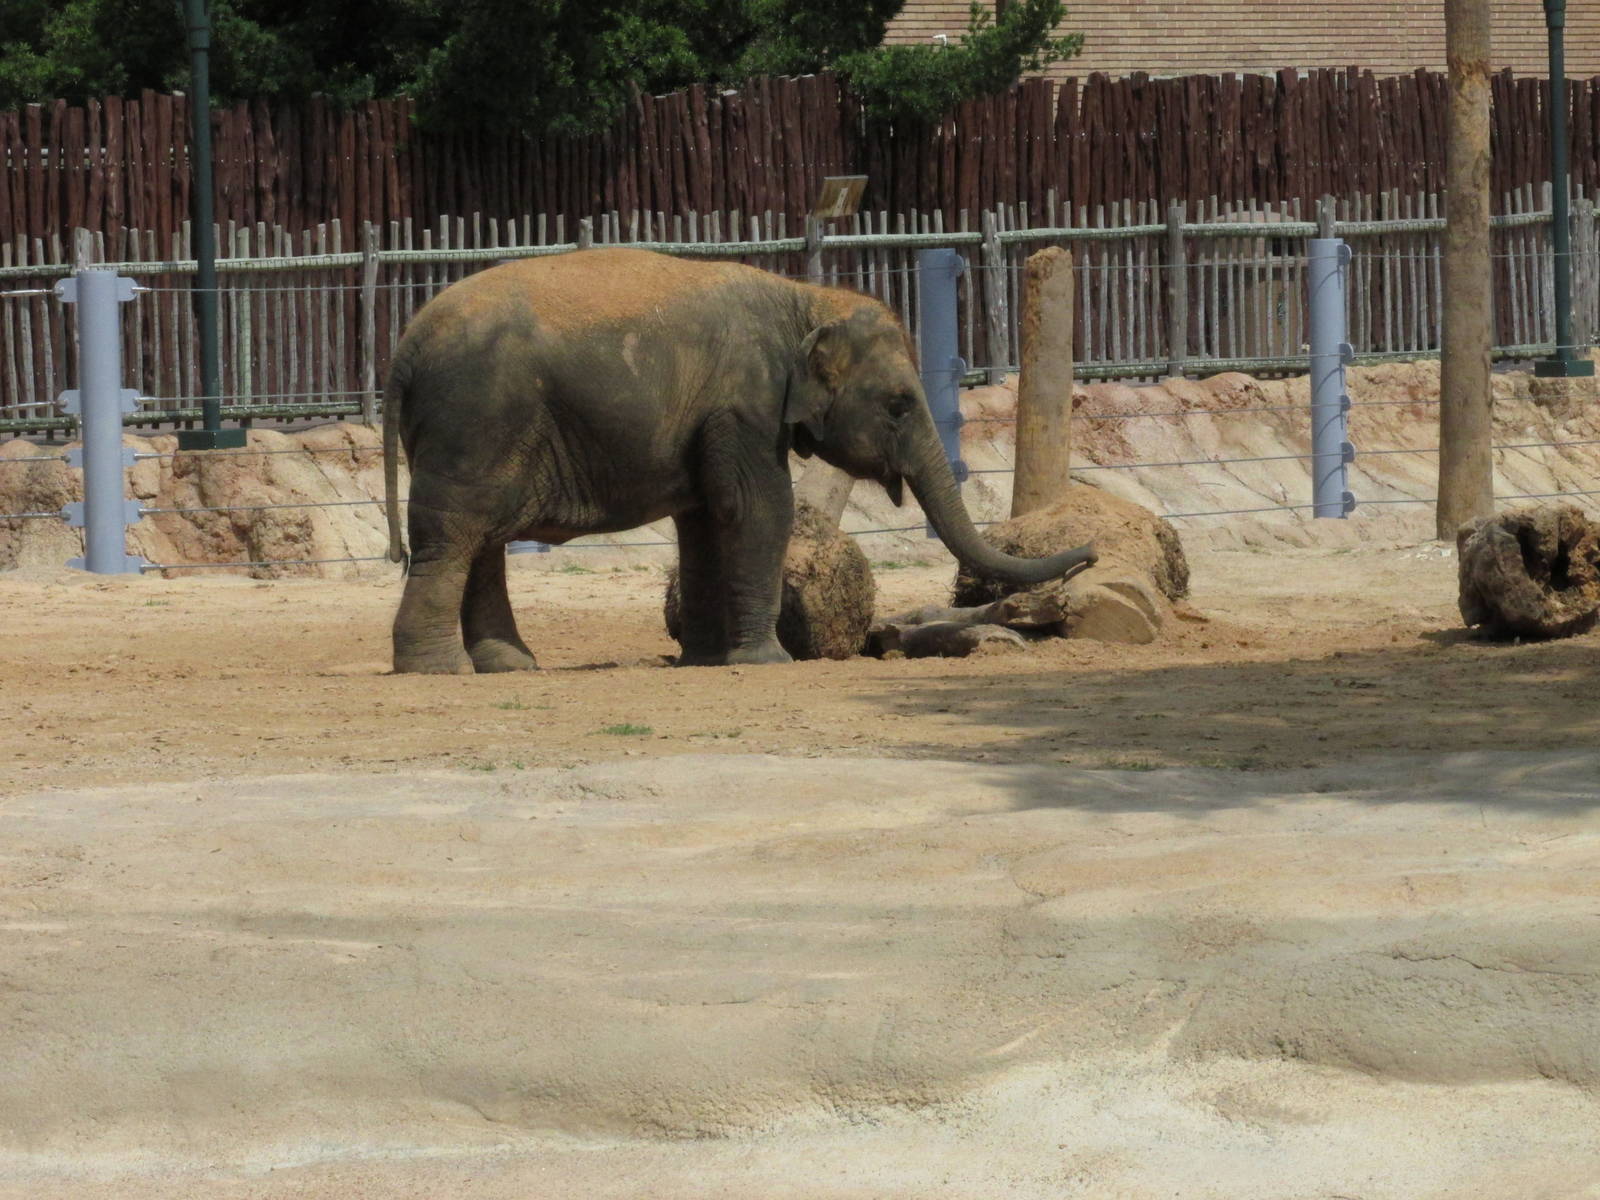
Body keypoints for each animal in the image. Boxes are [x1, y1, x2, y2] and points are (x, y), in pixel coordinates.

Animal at [382, 248, 1095, 673]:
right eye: (897, 406)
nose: (1088, 554)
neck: (803, 298)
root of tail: (405, 348)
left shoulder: (709, 421)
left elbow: (701, 521)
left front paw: (701, 661)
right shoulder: (745, 402)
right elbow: (758, 509)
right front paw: (767, 661)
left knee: (481, 540)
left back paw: (508, 666)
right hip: (475, 422)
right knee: (454, 536)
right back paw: (441, 670)